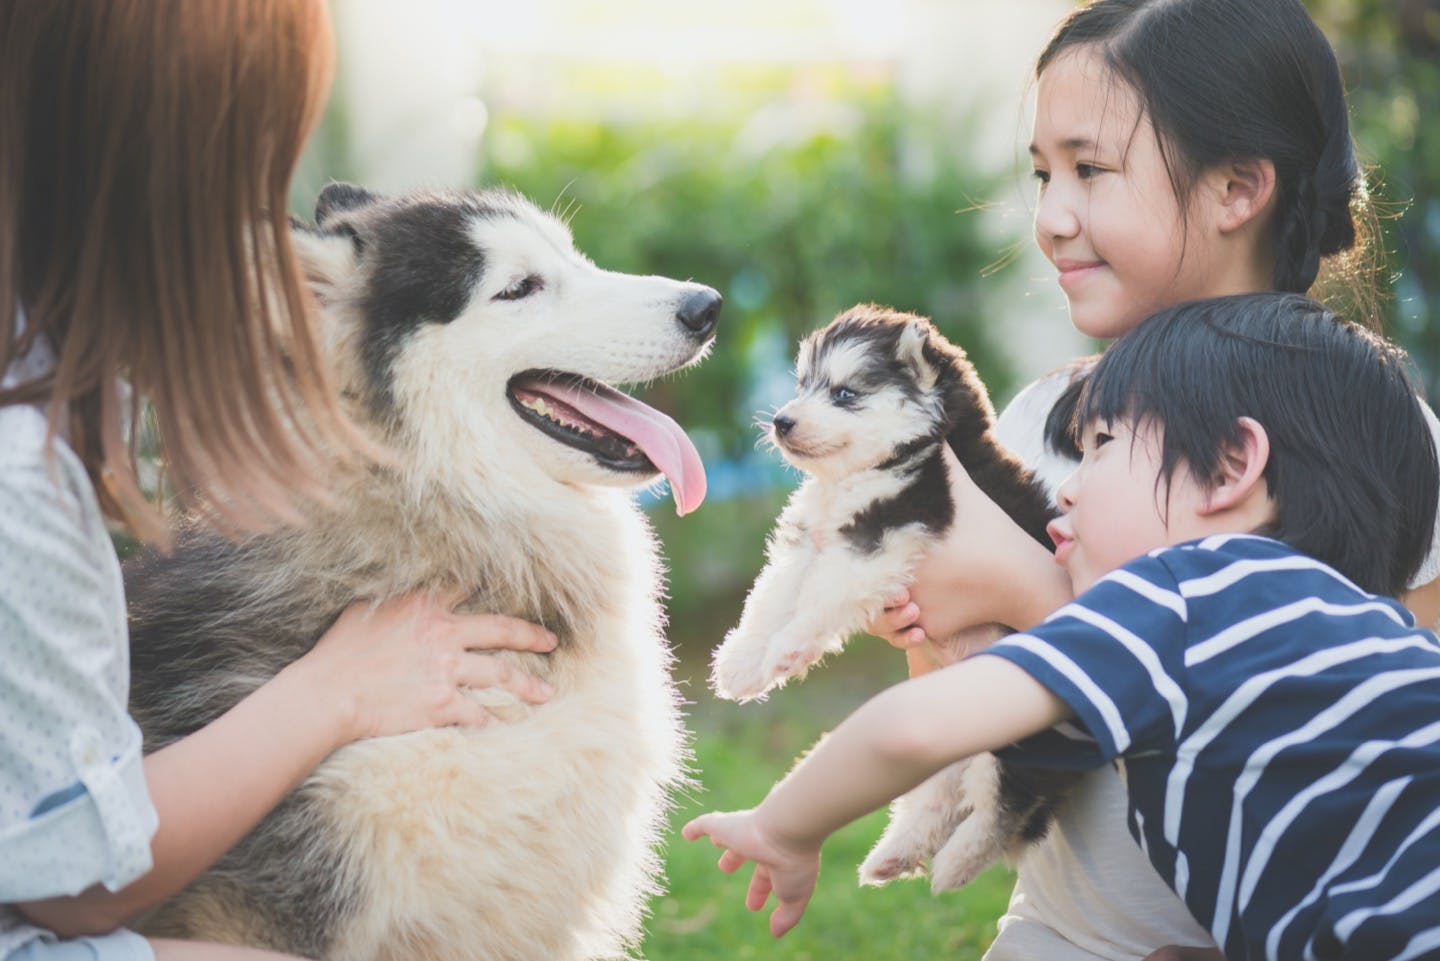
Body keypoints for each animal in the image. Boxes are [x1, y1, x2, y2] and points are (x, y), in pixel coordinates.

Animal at [714, 302, 1077, 893]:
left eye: (844, 393)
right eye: (803, 385)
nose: (781, 421)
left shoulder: (886, 527)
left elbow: (819, 598)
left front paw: (788, 648)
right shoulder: (810, 539)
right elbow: (770, 597)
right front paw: (744, 664)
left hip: (1014, 724)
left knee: (1008, 803)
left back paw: (955, 865)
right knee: (940, 795)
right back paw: (894, 854)